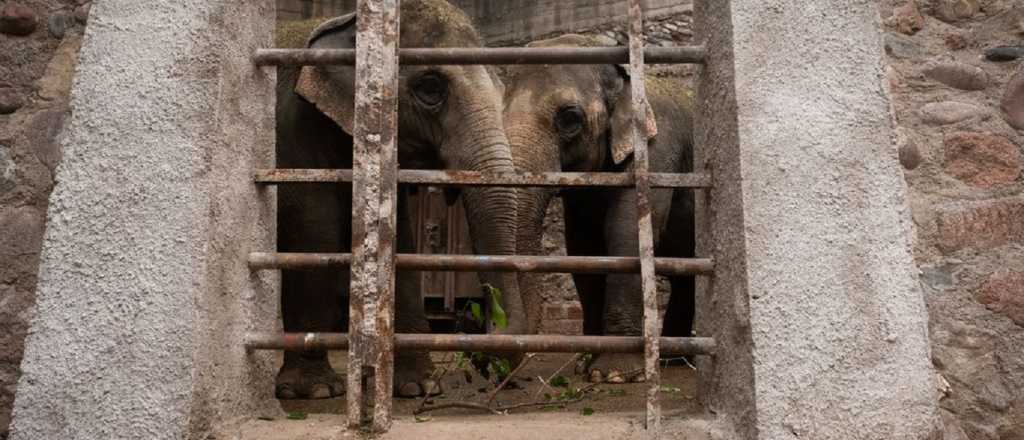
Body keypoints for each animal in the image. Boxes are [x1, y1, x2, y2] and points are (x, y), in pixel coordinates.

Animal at [276, 0, 524, 399]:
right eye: (430, 87)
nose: (485, 357)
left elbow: (401, 240)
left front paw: (418, 387)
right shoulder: (294, 134)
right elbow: (313, 234)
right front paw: (314, 391)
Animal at [501, 34, 696, 382]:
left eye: (569, 118)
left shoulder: (657, 149)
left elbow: (624, 232)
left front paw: (614, 373)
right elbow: (583, 245)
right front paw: (586, 362)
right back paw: (674, 359)